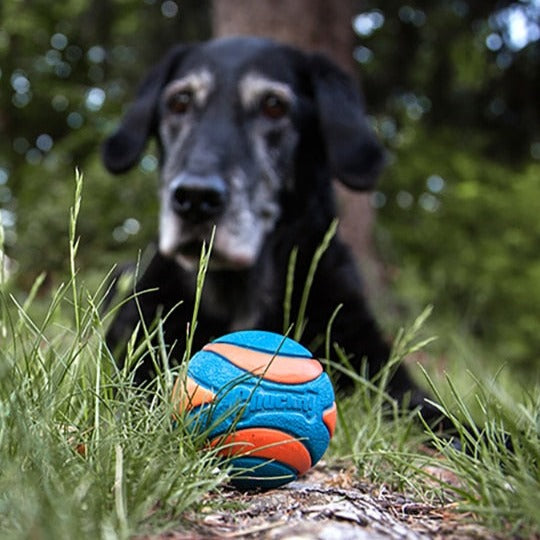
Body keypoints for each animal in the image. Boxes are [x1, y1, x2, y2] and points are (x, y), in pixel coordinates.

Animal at [101, 37, 438, 422]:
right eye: (179, 102)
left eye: (274, 106)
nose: (195, 197)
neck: (239, 295)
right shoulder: (136, 350)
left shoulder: (379, 367)